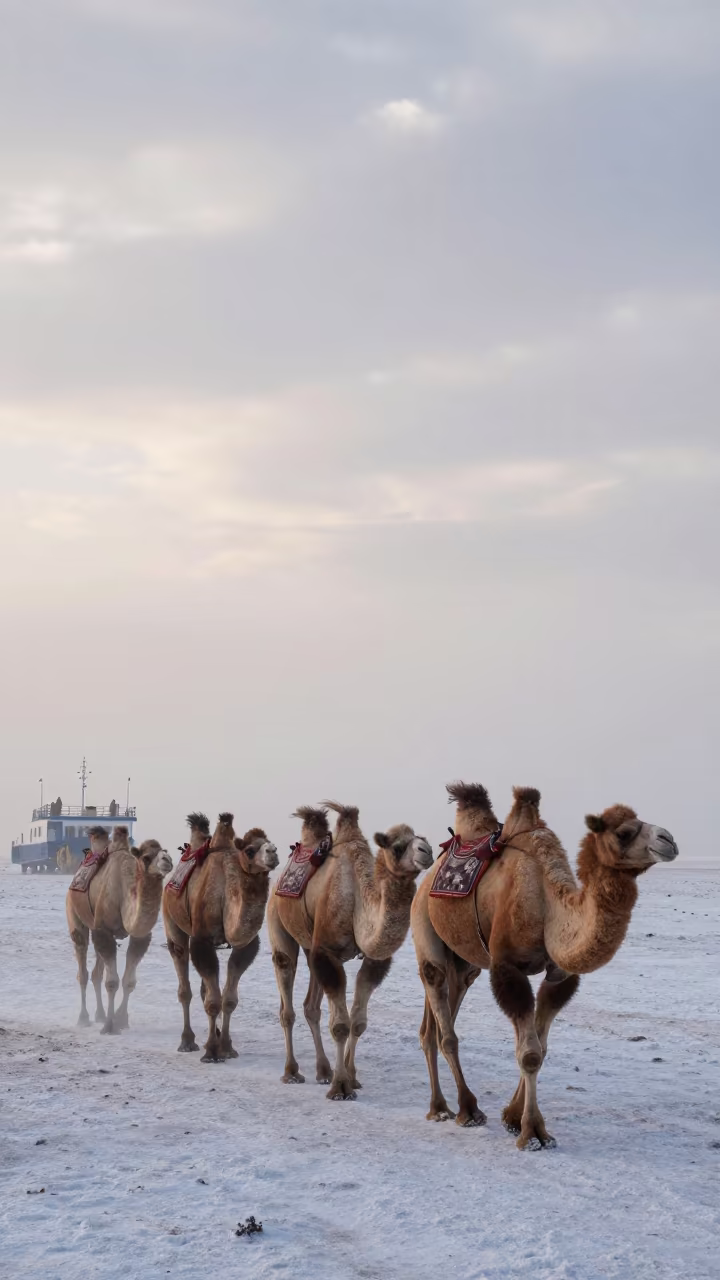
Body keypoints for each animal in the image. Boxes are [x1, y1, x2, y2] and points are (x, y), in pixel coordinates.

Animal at [66, 824, 173, 1033]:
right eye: (146, 857)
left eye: (164, 850)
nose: (168, 860)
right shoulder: (104, 930)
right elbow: (112, 982)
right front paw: (109, 1026)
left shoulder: (140, 936)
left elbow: (128, 981)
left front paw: (121, 1020)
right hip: (75, 917)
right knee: (83, 970)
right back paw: (84, 1018)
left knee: (96, 974)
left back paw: (99, 1015)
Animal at [162, 812, 279, 1062]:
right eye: (250, 850)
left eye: (269, 842)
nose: (273, 851)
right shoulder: (201, 940)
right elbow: (213, 1001)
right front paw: (211, 1052)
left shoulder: (247, 945)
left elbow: (228, 999)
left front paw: (226, 1047)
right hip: (172, 922)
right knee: (184, 986)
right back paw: (187, 1041)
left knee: (204, 989)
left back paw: (212, 1034)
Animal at [268, 803, 433, 1099]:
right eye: (398, 846)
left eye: (421, 838)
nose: (427, 851)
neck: (358, 898)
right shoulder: (327, 952)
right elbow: (340, 1026)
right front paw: (341, 1087)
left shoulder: (373, 960)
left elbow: (357, 1022)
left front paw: (351, 1077)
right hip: (279, 923)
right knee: (287, 998)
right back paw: (292, 1072)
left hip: (311, 946)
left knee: (311, 1006)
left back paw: (323, 1071)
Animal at [411, 783, 678, 1148]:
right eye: (623, 832)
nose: (668, 839)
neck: (548, 904)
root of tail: (427, 877)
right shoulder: (507, 967)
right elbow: (529, 1053)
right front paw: (533, 1132)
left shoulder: (559, 975)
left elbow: (542, 1045)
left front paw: (513, 1117)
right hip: (425, 928)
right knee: (445, 1023)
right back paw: (466, 1109)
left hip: (464, 960)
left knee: (438, 1021)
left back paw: (438, 1106)